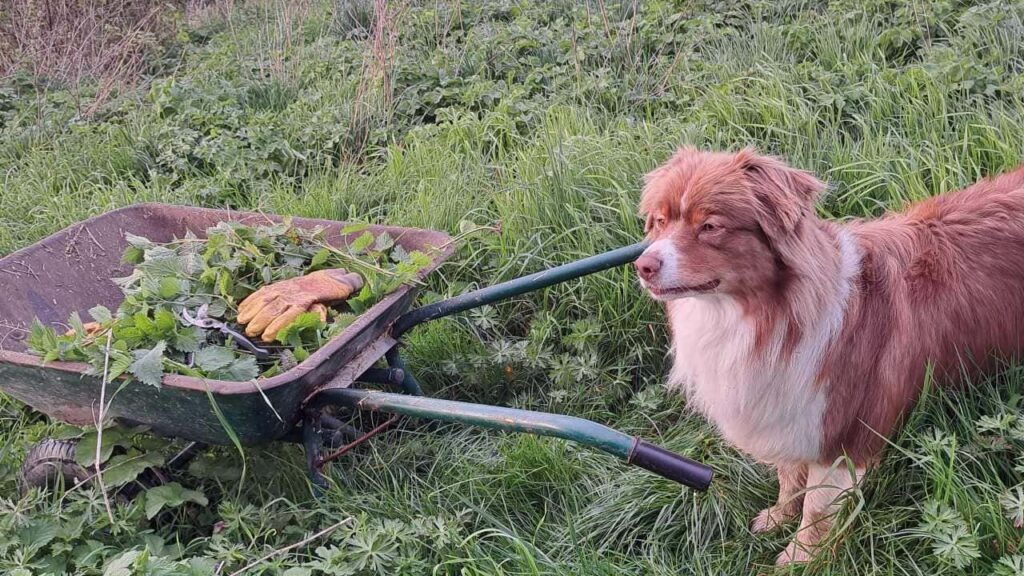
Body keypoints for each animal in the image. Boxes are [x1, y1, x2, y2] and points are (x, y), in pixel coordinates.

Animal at [630, 145, 1024, 561]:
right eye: (659, 221)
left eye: (709, 226)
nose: (643, 265)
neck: (768, 315)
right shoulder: (791, 414)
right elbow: (790, 478)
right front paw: (777, 518)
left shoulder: (843, 434)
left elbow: (816, 508)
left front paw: (798, 559)